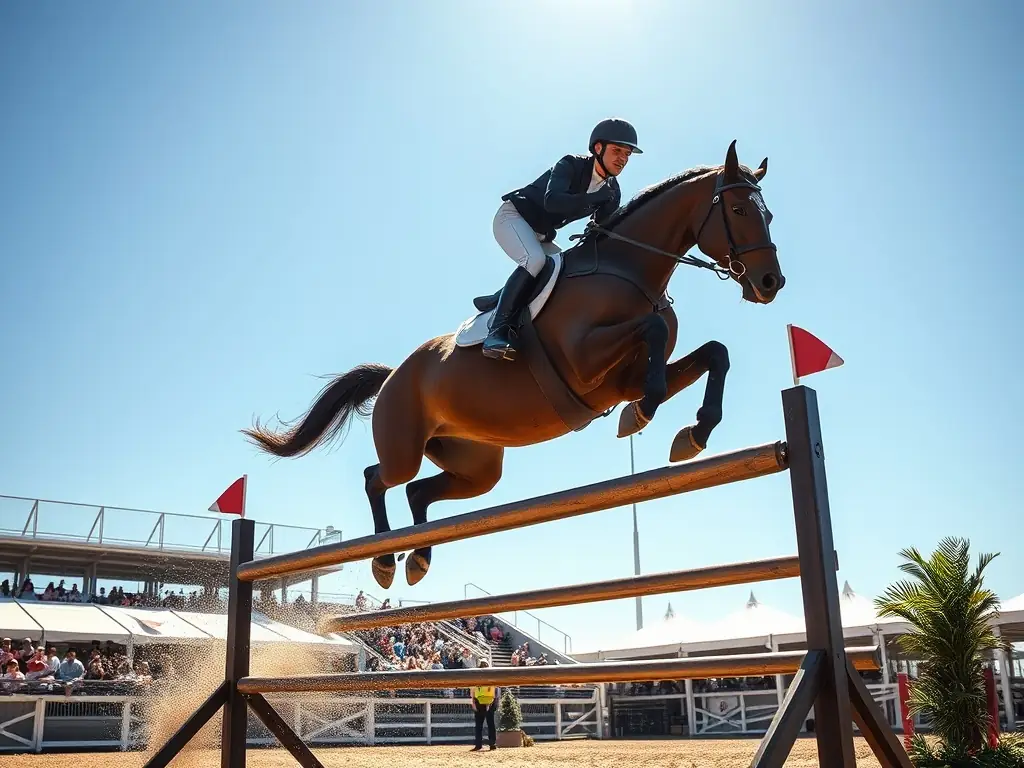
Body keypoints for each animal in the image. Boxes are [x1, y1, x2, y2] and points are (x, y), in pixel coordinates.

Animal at [242, 140, 785, 590]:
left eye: (770, 214)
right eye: (738, 209)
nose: (769, 283)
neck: (628, 269)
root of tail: (394, 373)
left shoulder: (622, 379)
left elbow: (715, 353)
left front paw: (691, 434)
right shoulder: (586, 362)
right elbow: (653, 334)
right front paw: (645, 415)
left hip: (478, 466)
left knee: (418, 492)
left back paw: (418, 558)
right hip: (406, 447)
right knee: (379, 477)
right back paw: (383, 560)